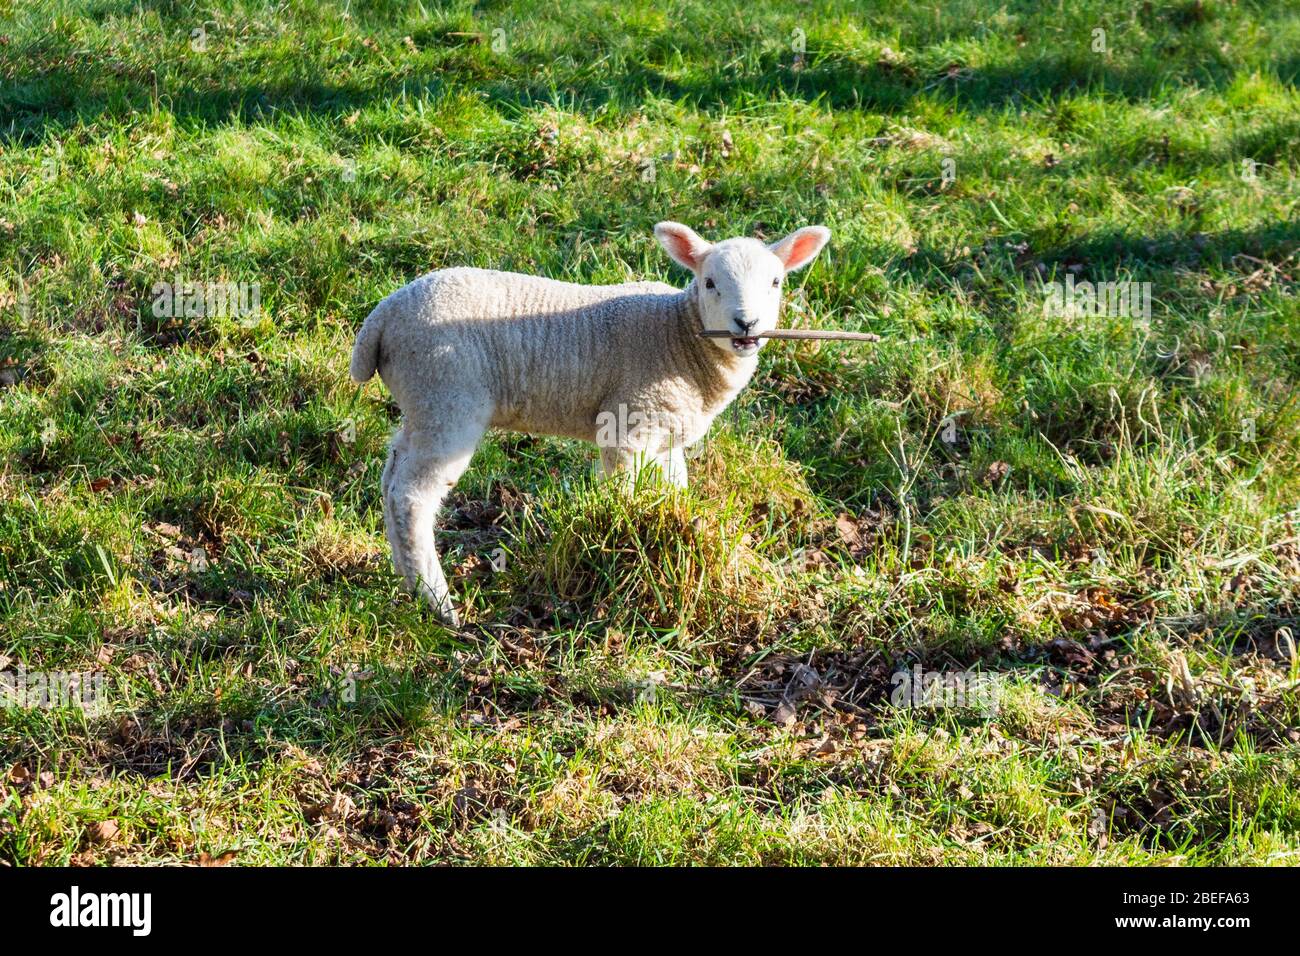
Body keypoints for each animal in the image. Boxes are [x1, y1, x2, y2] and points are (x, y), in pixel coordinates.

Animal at [348, 219, 832, 624]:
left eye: (775, 282)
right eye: (709, 282)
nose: (746, 324)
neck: (679, 335)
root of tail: (381, 319)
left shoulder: (665, 433)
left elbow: (673, 492)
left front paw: (677, 528)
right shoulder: (628, 421)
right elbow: (626, 495)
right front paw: (630, 541)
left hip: (422, 402)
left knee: (392, 477)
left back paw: (406, 582)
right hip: (447, 395)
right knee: (412, 496)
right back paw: (438, 603)